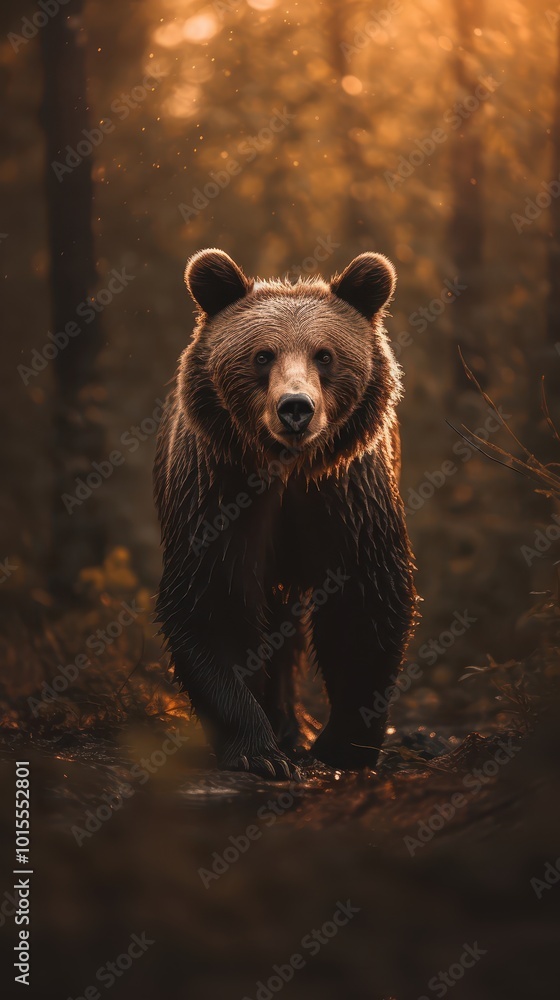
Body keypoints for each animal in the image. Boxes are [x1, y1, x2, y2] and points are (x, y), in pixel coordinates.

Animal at [154, 248, 417, 779]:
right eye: (262, 355)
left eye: (325, 354)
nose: (296, 407)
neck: (288, 470)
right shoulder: (220, 491)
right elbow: (211, 603)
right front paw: (260, 750)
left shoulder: (346, 496)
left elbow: (364, 606)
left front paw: (341, 746)